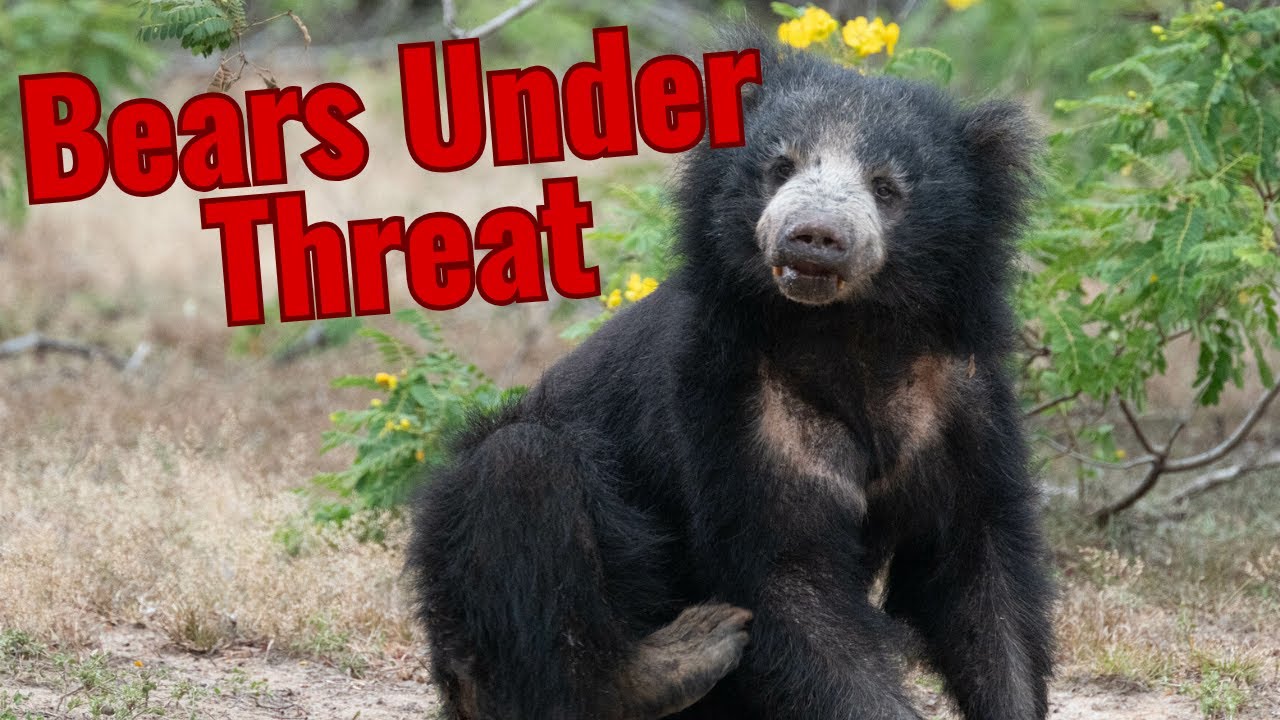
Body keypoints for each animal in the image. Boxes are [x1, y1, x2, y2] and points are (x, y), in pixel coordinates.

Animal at [408, 35, 1055, 720]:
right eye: (780, 167)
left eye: (885, 186)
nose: (814, 237)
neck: (842, 330)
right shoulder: (735, 395)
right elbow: (785, 572)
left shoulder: (957, 398)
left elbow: (976, 569)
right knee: (521, 467)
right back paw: (673, 661)